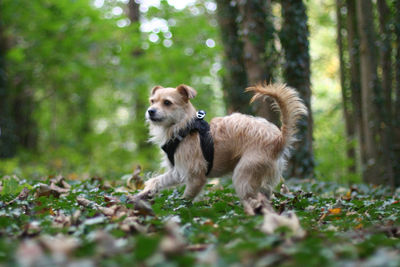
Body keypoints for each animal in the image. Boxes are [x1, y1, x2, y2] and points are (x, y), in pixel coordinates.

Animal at [136, 82, 308, 215]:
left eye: (167, 102)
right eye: (152, 101)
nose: (150, 111)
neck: (184, 127)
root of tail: (279, 139)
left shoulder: (196, 176)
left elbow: (186, 198)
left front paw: (178, 209)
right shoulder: (178, 171)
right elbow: (157, 180)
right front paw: (143, 194)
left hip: (244, 175)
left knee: (254, 201)